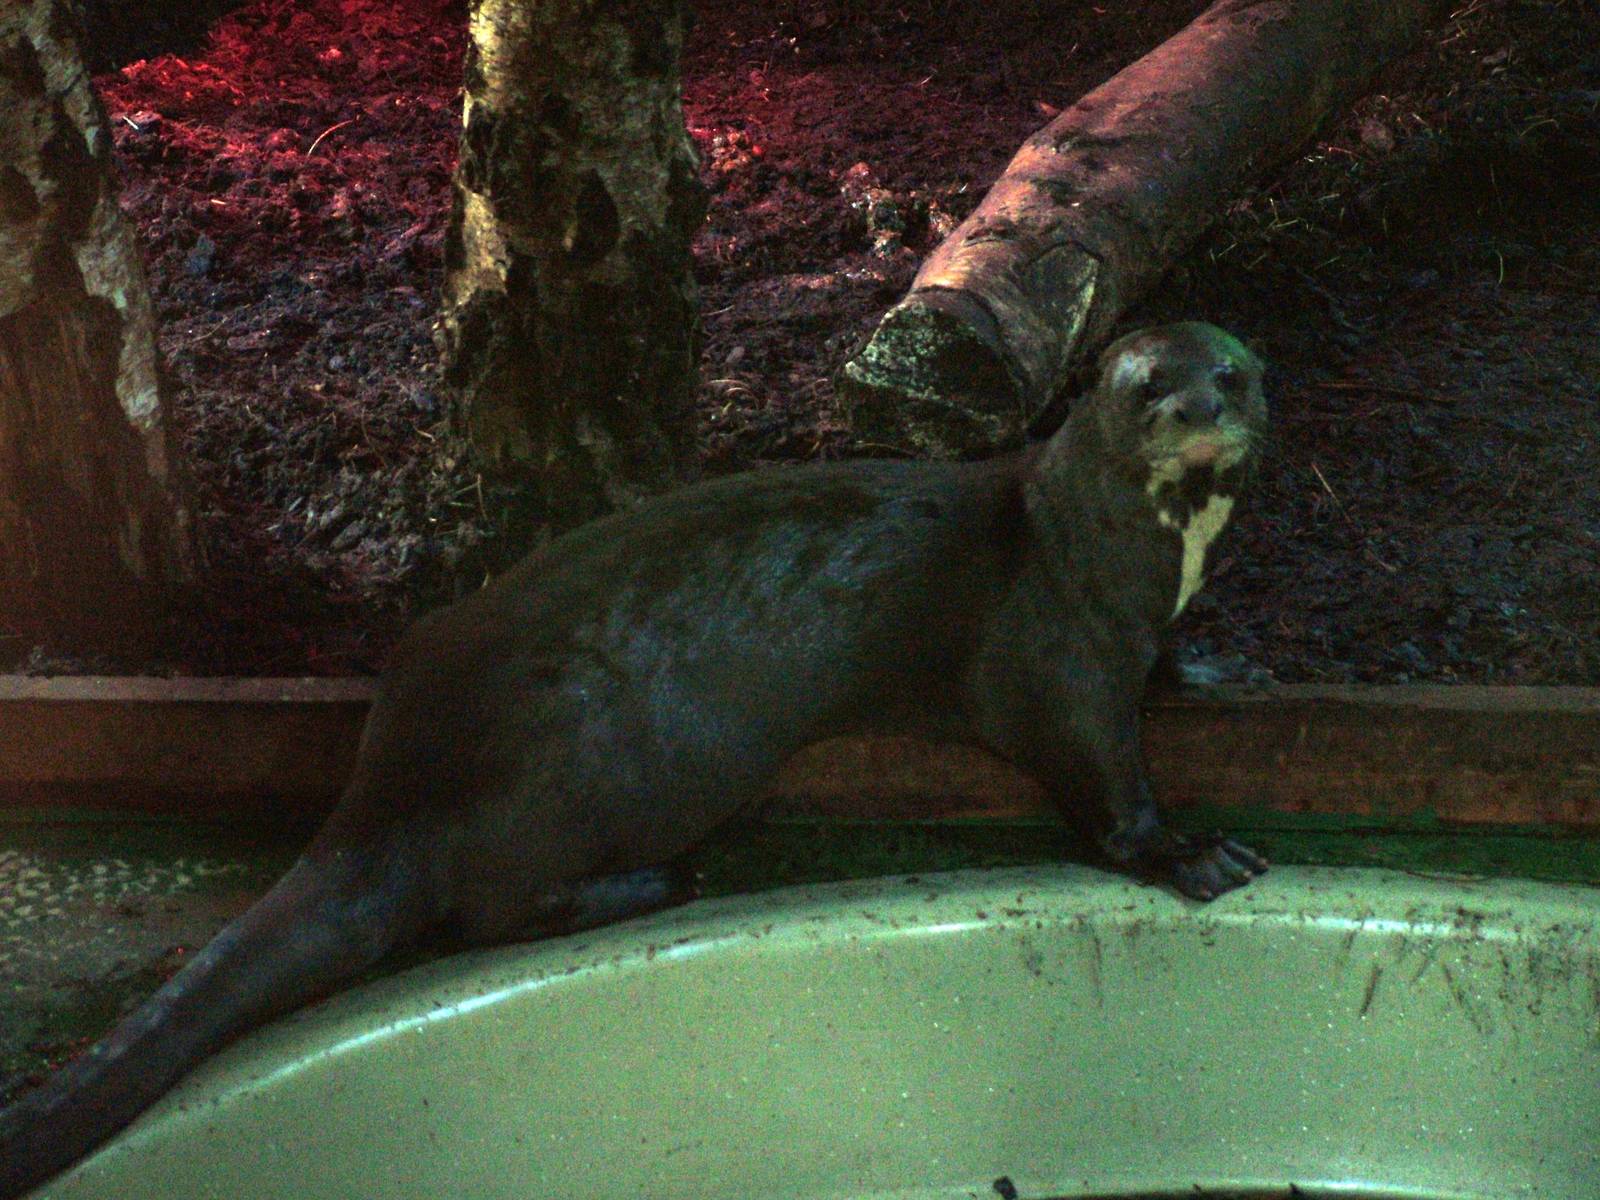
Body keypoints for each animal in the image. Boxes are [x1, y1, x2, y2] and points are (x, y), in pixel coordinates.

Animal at [0, 321, 1268, 1197]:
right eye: (1147, 387)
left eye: (1235, 372)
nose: (1202, 405)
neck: (1110, 552)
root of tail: (401, 780)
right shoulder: (1063, 653)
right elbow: (1104, 786)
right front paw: (1192, 853)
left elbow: (1171, 668)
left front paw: (1212, 669)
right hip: (629, 767)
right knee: (486, 908)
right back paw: (653, 883)